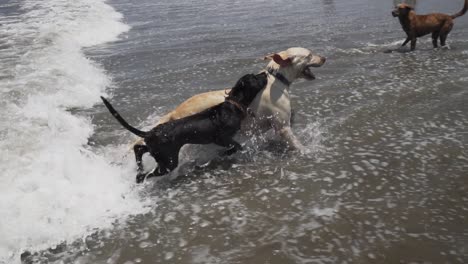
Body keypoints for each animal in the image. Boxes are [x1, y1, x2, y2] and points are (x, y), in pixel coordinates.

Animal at [101, 73, 266, 183]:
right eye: (254, 77)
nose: (265, 72)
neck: (233, 103)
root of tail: (151, 132)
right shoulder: (221, 138)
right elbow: (236, 145)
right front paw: (227, 153)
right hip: (169, 160)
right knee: (151, 167)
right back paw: (144, 175)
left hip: (159, 151)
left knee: (139, 148)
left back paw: (140, 171)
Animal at [134, 46, 326, 152]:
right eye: (309, 55)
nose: (325, 58)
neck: (276, 78)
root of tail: (174, 112)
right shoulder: (283, 127)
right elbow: (296, 144)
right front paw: (307, 152)